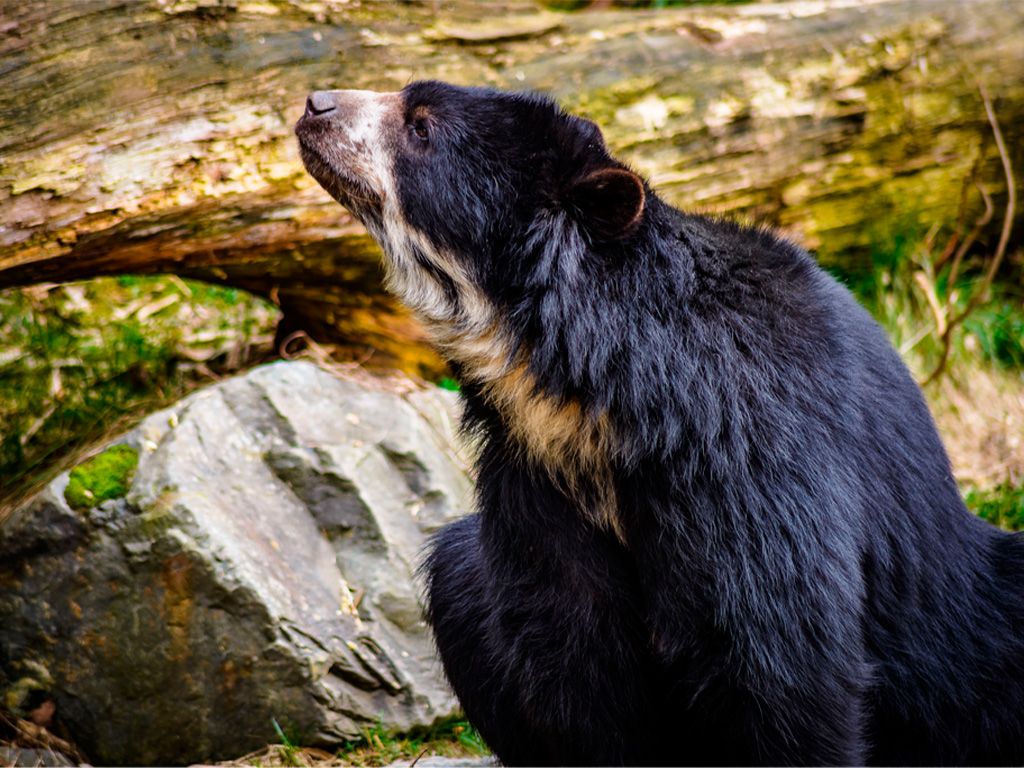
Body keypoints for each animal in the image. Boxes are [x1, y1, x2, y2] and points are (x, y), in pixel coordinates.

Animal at [295, 80, 1024, 766]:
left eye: (420, 127)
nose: (315, 104)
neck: (580, 390)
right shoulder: (536, 475)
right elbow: (574, 655)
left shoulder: (745, 455)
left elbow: (781, 656)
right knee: (457, 569)